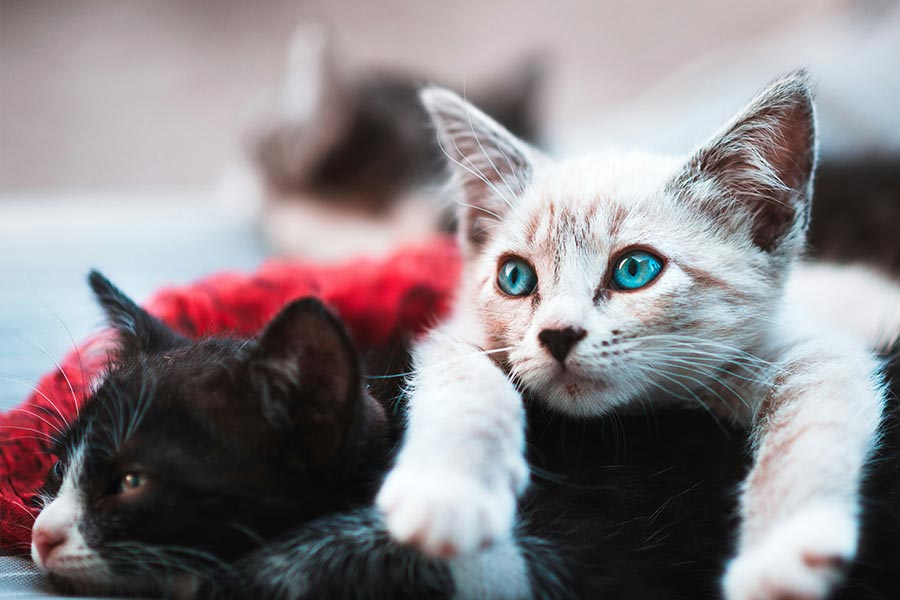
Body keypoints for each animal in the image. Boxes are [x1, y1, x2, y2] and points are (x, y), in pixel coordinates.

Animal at [376, 71, 896, 600]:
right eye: (515, 277)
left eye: (635, 269)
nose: (558, 335)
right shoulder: (457, 335)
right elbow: (465, 382)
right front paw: (446, 492)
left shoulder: (814, 348)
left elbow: (809, 432)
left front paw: (779, 554)